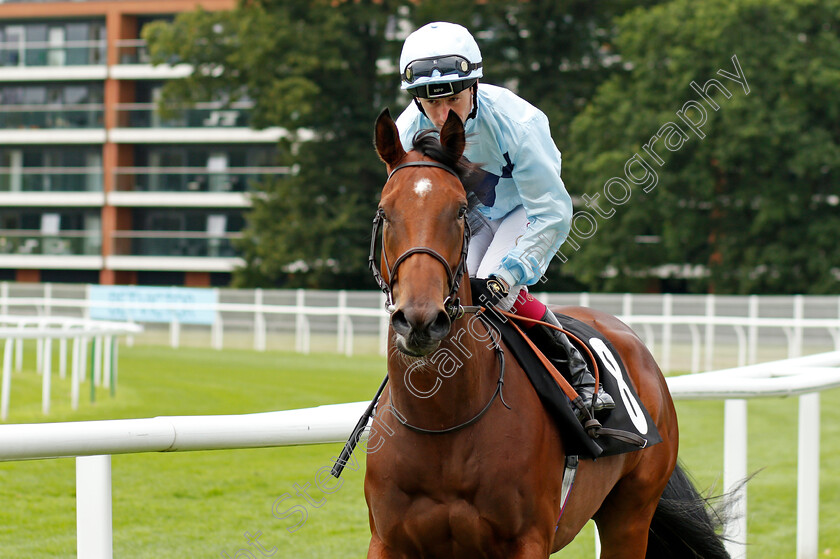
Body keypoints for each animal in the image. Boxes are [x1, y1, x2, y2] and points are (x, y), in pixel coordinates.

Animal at [360, 109, 728, 559]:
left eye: (460, 210)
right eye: (384, 211)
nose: (421, 320)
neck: (444, 423)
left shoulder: (529, 539)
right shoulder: (388, 540)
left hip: (632, 513)